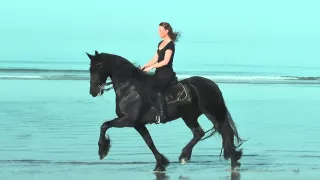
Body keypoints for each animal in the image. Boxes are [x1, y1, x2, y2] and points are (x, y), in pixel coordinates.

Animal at [86, 50, 244, 172]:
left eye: (99, 66)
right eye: (90, 68)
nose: (93, 91)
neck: (129, 88)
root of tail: (212, 84)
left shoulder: (128, 120)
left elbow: (105, 125)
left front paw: (102, 150)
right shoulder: (137, 123)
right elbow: (149, 142)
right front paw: (161, 163)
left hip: (212, 113)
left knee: (224, 132)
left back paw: (231, 160)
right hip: (189, 116)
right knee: (200, 133)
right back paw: (188, 156)